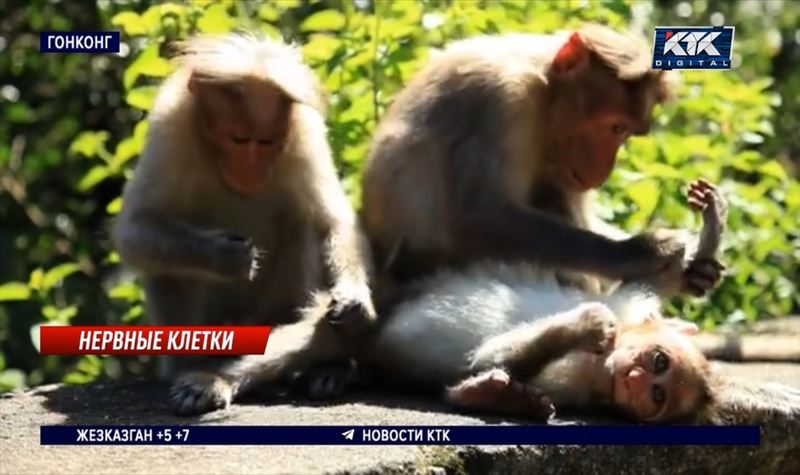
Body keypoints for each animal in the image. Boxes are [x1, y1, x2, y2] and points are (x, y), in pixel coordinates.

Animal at [112, 33, 378, 414]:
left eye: (266, 142)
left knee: (305, 225)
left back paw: (327, 368)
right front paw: (223, 255)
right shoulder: (170, 129)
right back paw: (191, 365)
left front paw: (353, 299)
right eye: (239, 139)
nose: (250, 169)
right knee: (168, 264)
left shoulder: (305, 133)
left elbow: (332, 221)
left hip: (266, 311)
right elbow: (136, 229)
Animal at [191, 179, 800, 424]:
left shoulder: (582, 386)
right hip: (365, 308)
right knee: (313, 337)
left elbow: (487, 364)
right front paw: (706, 235)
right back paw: (218, 381)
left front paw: (499, 395)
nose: (631, 379)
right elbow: (641, 285)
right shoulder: (635, 315)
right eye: (657, 362)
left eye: (657, 396)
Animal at [360, 23, 720, 298]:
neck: (543, 86)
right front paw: (637, 253)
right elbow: (478, 216)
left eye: (629, 133)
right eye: (615, 127)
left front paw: (693, 268)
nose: (603, 170)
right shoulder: (502, 98)